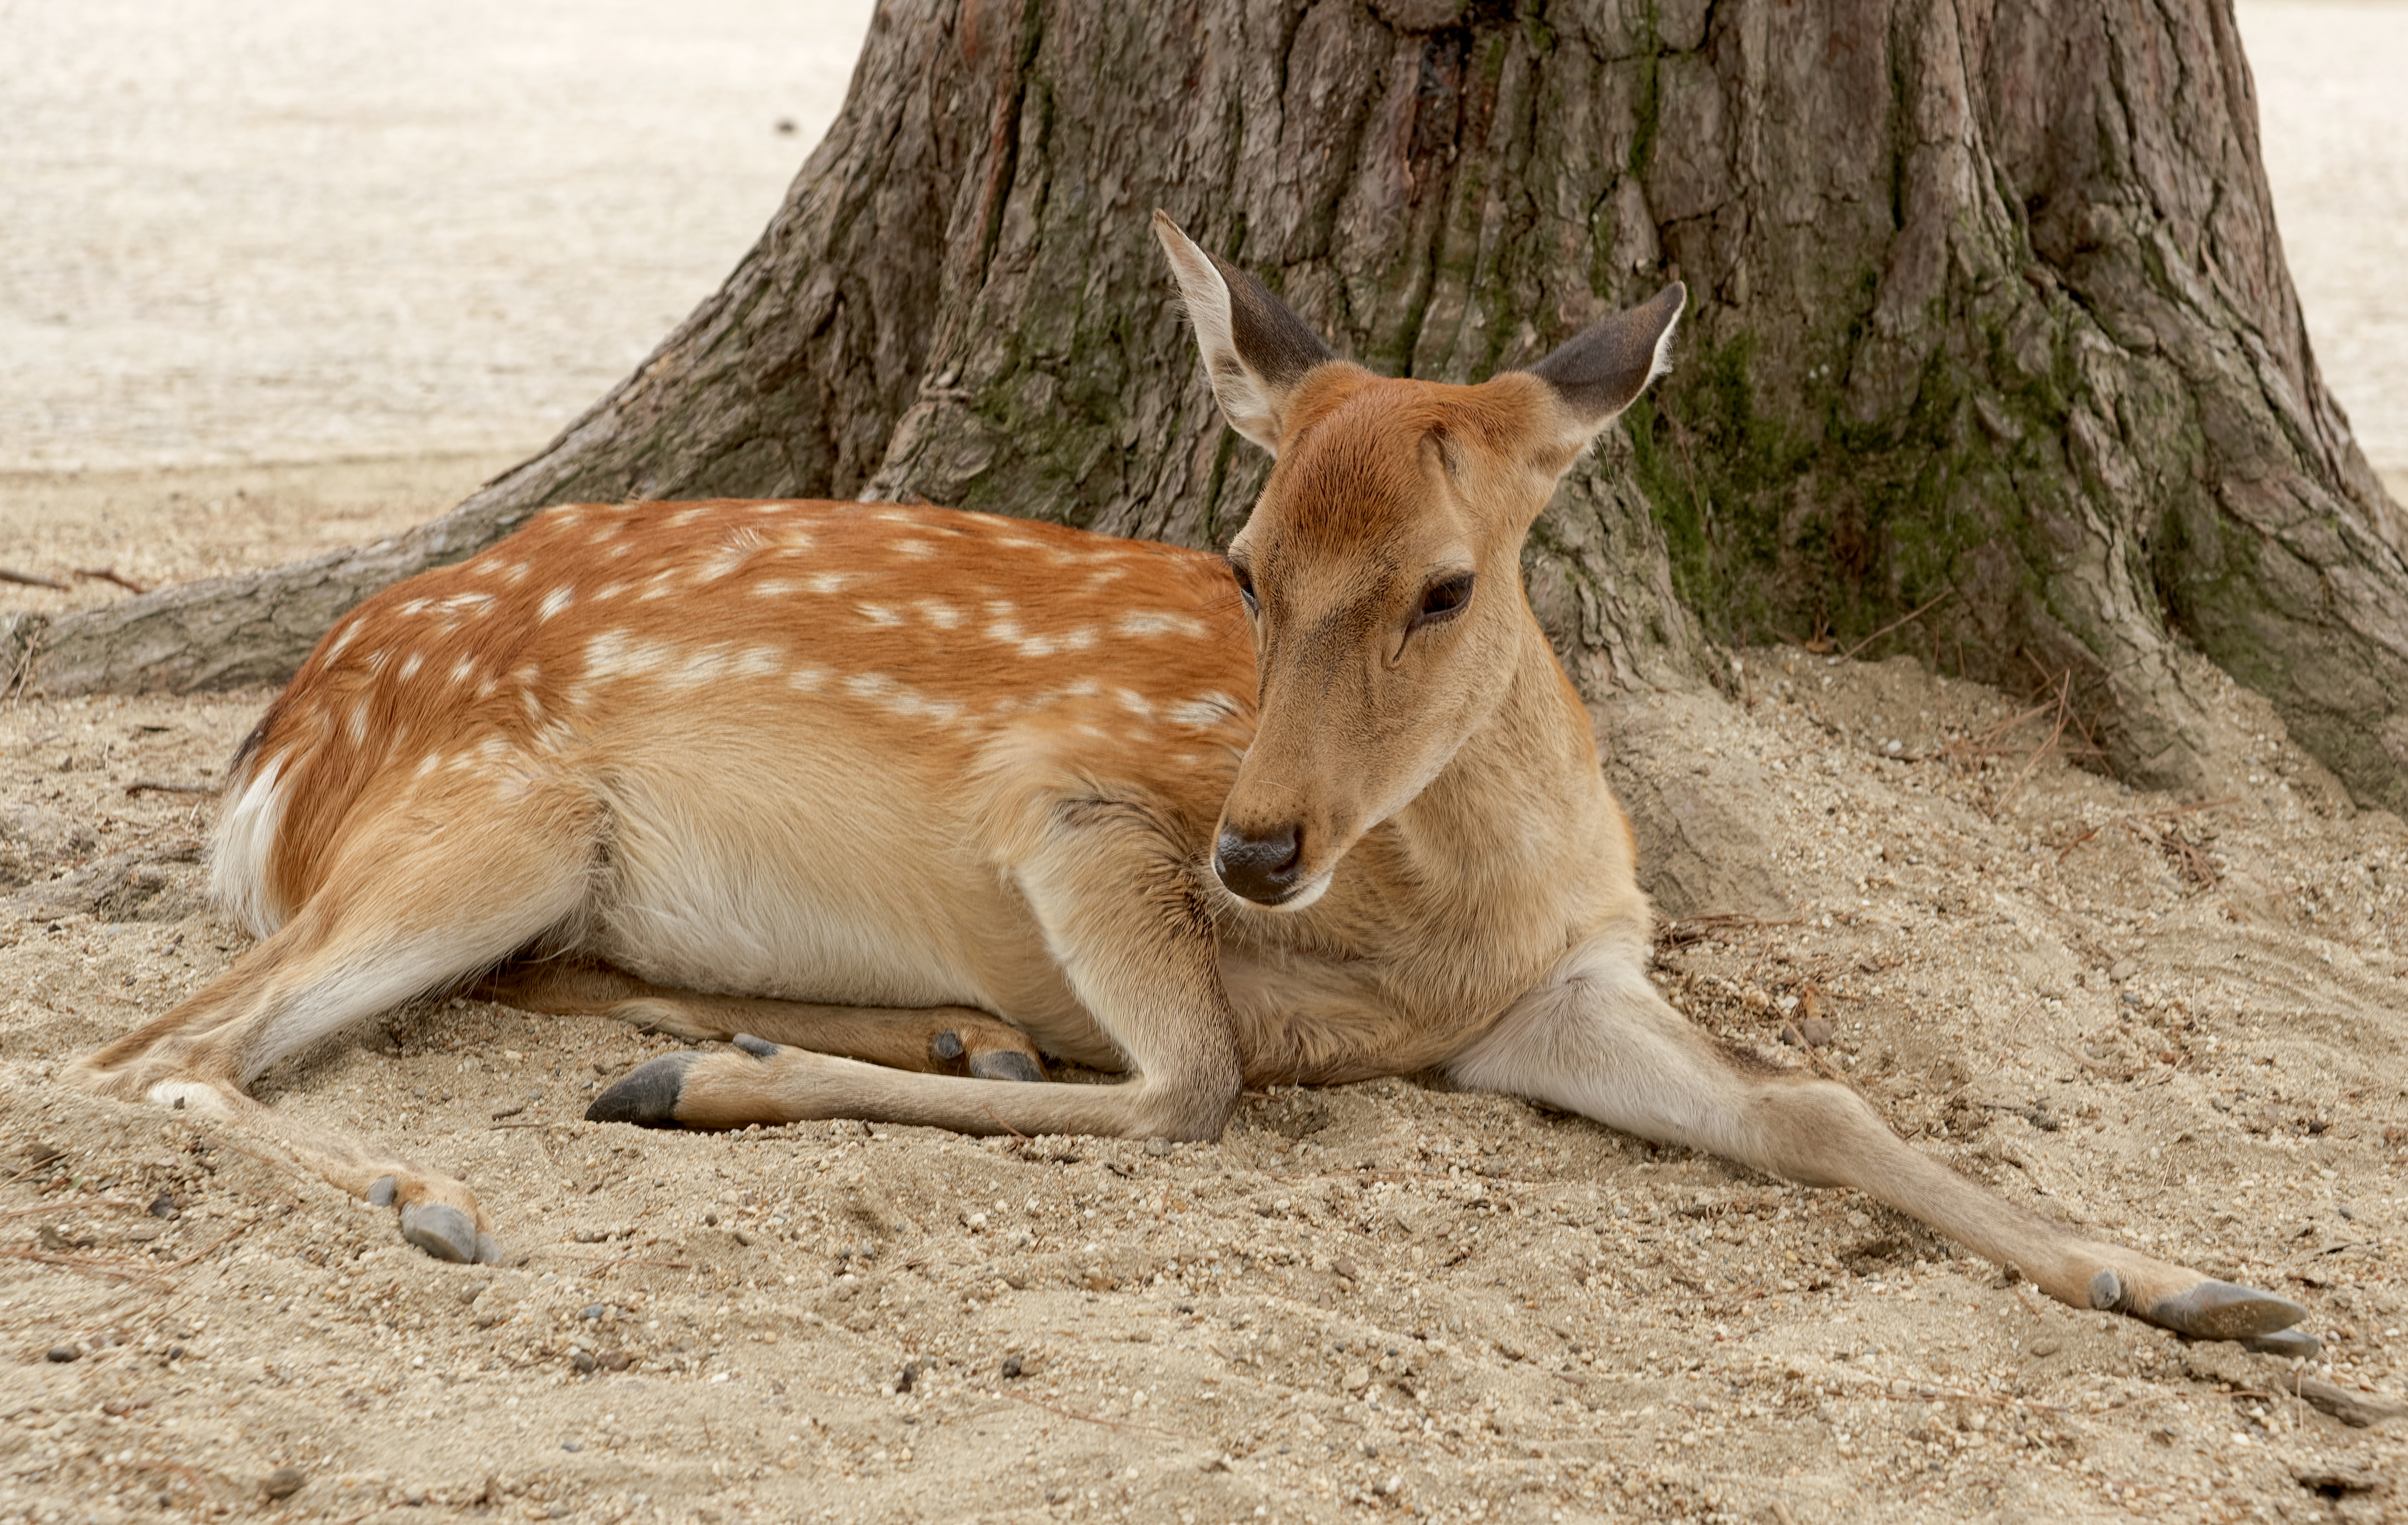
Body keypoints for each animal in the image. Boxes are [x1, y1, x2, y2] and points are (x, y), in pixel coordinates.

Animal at [69, 212, 2312, 1358]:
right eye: (1239, 564)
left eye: (1443, 582)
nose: (1255, 841)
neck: (1429, 924)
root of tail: (272, 742)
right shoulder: (1070, 805)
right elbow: (1196, 1084)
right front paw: (714, 1092)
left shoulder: (1563, 986)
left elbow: (1822, 1103)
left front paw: (2208, 1284)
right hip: (486, 809)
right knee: (146, 1052)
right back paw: (445, 1190)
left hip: (524, 863)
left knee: (453, 990)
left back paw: (897, 1031)